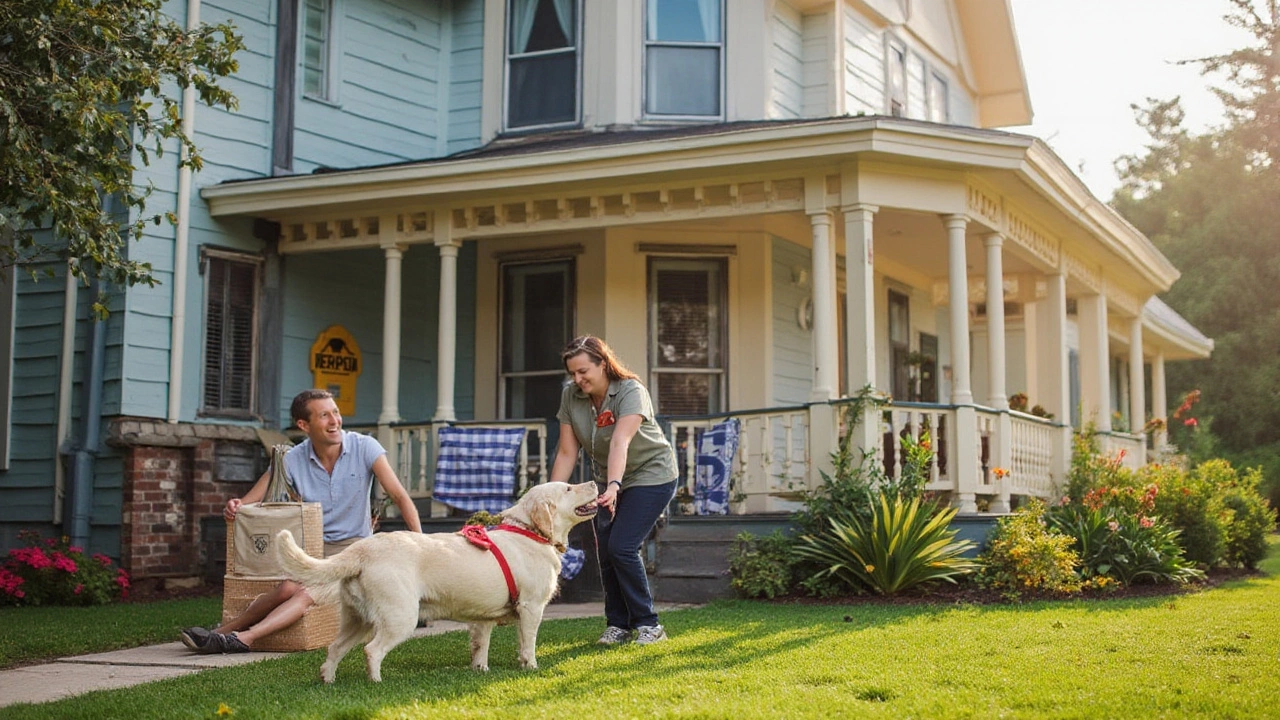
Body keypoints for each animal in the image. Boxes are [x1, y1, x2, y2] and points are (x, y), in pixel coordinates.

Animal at [277, 479, 596, 681]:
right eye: (568, 488)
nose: (594, 482)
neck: (529, 531)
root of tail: (364, 548)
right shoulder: (531, 607)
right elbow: (528, 644)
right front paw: (530, 667)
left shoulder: (482, 619)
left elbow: (480, 647)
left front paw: (480, 671)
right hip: (400, 617)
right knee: (372, 650)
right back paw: (376, 682)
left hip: (357, 619)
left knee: (334, 648)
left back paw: (328, 681)